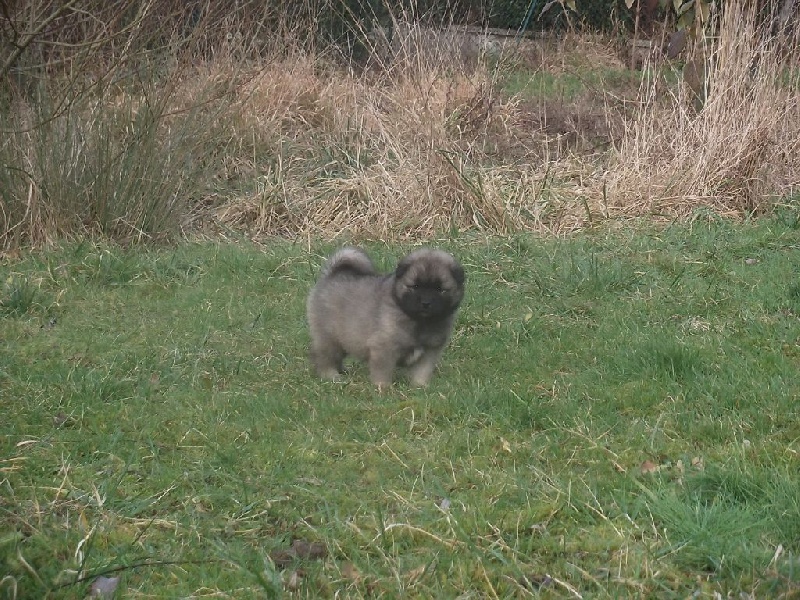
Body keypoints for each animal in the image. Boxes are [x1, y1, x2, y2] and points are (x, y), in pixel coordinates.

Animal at [308, 246, 468, 386]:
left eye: (440, 289)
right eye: (415, 286)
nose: (425, 303)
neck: (419, 321)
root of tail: (332, 274)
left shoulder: (429, 351)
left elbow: (422, 371)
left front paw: (420, 386)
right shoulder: (384, 348)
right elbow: (383, 371)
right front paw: (382, 388)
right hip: (328, 337)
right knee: (324, 357)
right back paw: (331, 376)